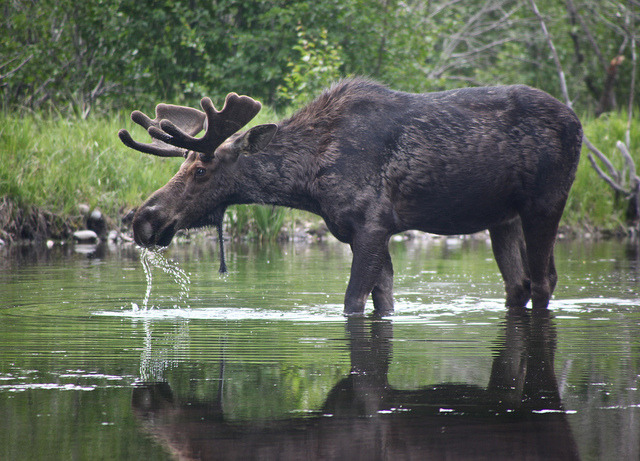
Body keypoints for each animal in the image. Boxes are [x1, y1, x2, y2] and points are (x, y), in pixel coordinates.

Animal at [118, 78, 582, 316]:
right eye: (181, 166)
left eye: (201, 170)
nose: (143, 219)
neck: (308, 183)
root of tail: (578, 123)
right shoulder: (365, 232)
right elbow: (385, 300)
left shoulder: (372, 224)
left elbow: (351, 301)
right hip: (502, 218)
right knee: (518, 283)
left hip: (545, 203)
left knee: (544, 279)